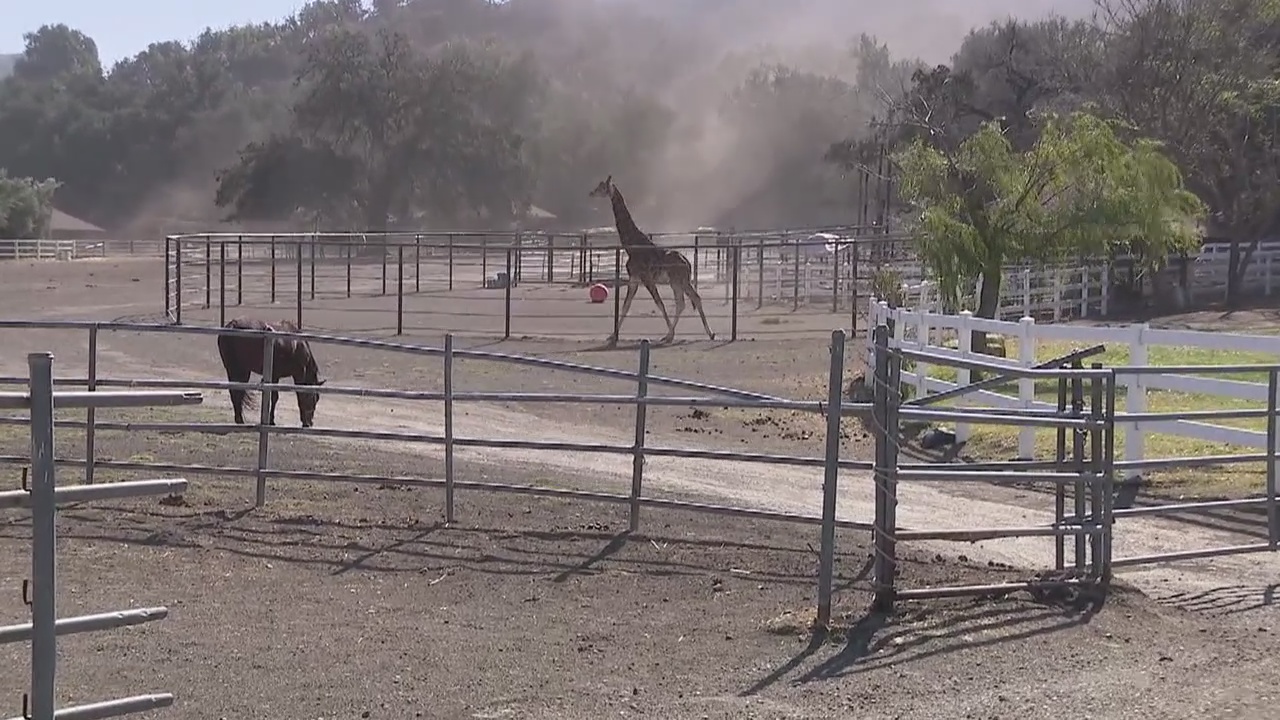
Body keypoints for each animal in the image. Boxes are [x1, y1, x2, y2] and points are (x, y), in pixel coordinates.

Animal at [589, 175, 715, 345]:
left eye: (602, 187)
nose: (591, 193)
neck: (631, 245)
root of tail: (687, 262)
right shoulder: (634, 278)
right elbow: (625, 306)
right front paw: (612, 336)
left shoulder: (646, 278)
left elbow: (659, 303)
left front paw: (671, 334)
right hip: (679, 282)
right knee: (686, 301)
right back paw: (703, 334)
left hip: (677, 281)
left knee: (688, 300)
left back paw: (692, 334)